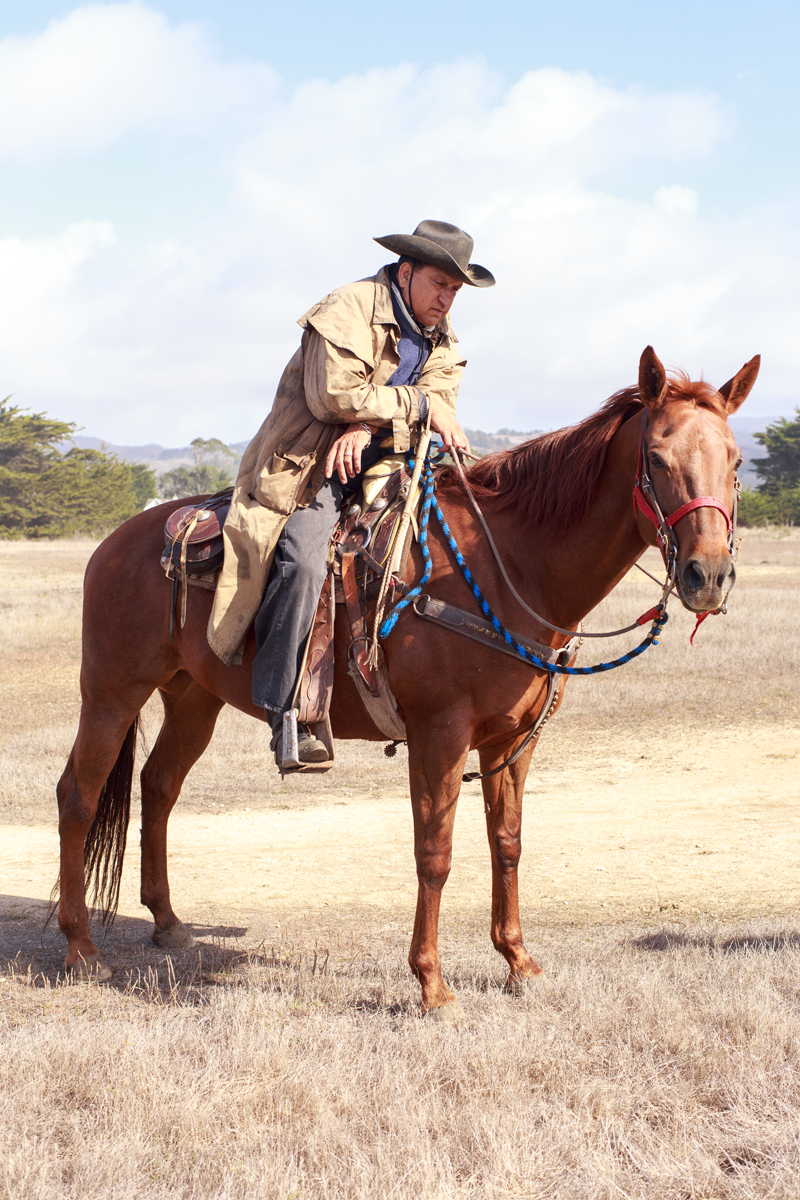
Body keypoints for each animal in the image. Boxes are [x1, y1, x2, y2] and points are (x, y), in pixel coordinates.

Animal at [55, 346, 759, 1017]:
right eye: (658, 458)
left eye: (735, 462)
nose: (708, 576)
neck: (507, 569)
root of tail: (116, 541)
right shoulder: (439, 734)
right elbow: (435, 852)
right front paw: (432, 986)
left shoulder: (513, 742)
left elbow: (507, 843)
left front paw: (519, 963)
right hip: (112, 693)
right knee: (78, 796)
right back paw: (81, 949)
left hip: (193, 698)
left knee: (159, 786)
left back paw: (167, 922)